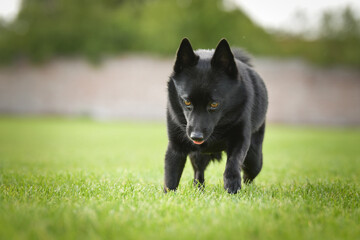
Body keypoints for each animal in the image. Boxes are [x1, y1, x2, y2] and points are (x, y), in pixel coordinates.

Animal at [164, 38, 268, 194]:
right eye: (187, 101)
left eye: (214, 104)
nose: (196, 137)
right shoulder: (176, 146)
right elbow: (171, 174)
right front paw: (168, 195)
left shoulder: (240, 140)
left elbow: (233, 163)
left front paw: (232, 187)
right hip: (197, 155)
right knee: (198, 172)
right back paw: (199, 189)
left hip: (254, 159)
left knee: (249, 175)